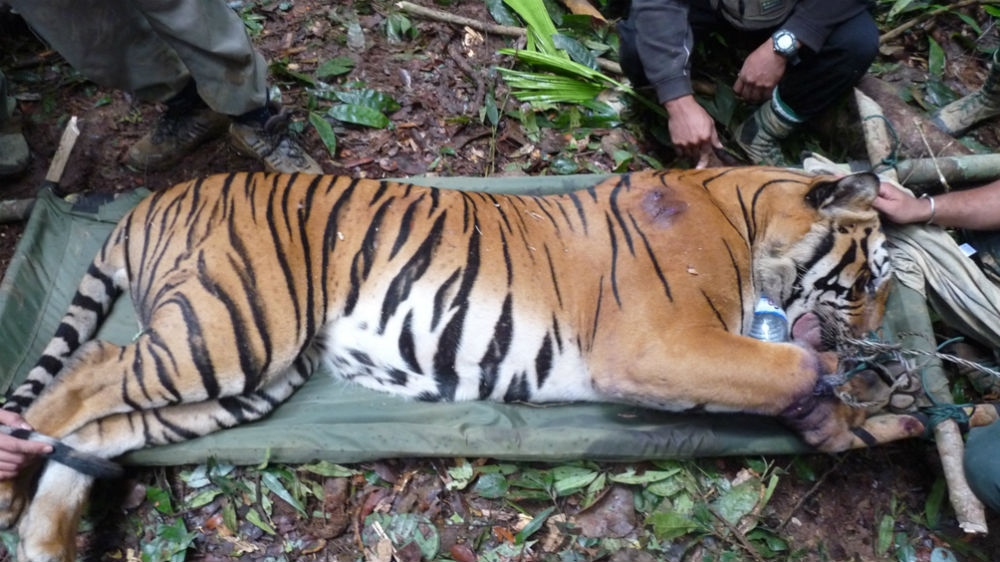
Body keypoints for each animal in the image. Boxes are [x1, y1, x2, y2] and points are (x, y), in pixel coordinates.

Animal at [1, 167, 891, 561]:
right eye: (872, 279)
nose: (881, 334)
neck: (743, 214)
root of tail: (149, 198)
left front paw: (865, 415)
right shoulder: (660, 345)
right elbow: (787, 368)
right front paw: (835, 401)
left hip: (248, 380)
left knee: (102, 429)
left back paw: (45, 540)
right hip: (227, 332)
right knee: (85, 372)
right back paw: (10, 486)